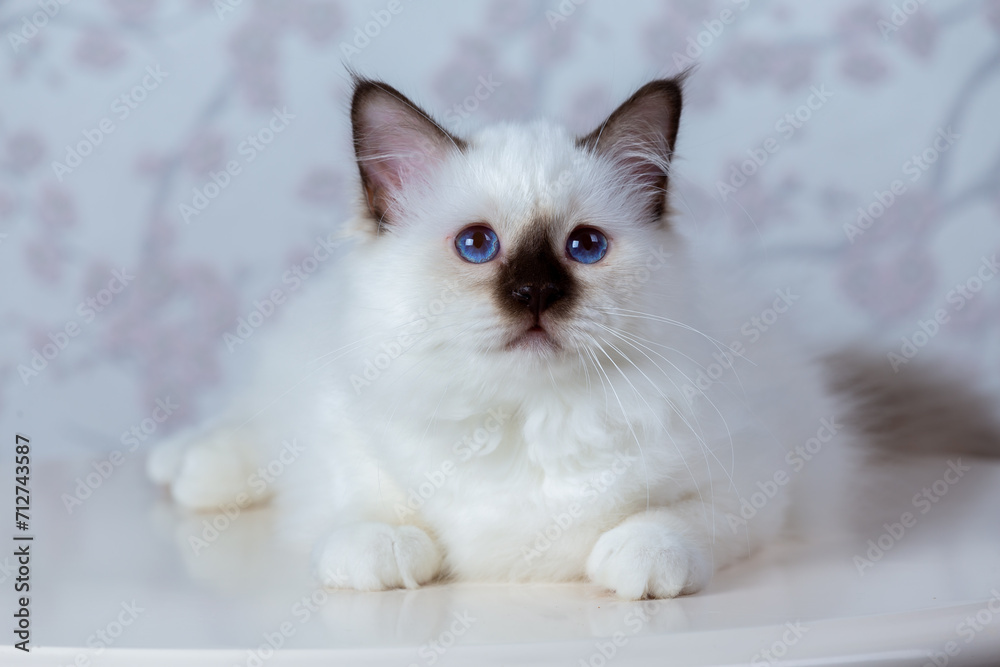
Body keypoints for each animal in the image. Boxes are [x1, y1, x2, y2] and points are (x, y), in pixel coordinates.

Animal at [148, 73, 860, 600]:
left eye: (585, 246)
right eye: (477, 245)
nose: (534, 293)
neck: (527, 417)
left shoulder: (755, 484)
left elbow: (670, 521)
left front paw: (637, 563)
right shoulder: (344, 438)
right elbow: (367, 502)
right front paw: (385, 552)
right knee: (251, 430)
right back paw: (184, 469)